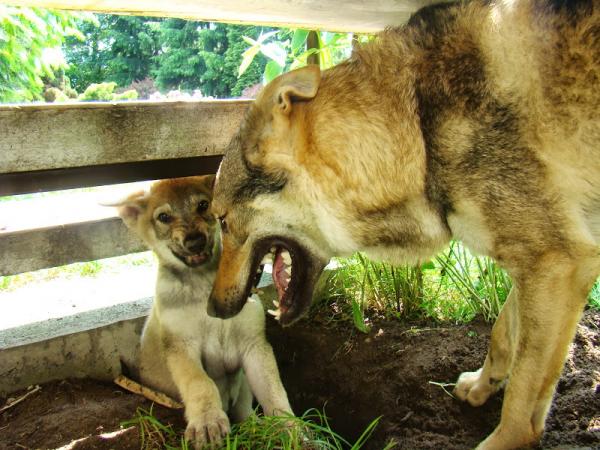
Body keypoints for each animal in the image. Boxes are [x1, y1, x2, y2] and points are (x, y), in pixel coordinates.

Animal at [113, 175, 292, 446]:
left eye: (203, 205)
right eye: (163, 217)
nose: (195, 241)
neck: (204, 284)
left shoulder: (254, 345)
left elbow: (273, 390)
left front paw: (294, 430)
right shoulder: (181, 348)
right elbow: (200, 383)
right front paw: (208, 422)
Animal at [207, 1, 600, 448]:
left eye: (222, 219)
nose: (212, 307)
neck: (418, 128)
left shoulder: (557, 265)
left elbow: (522, 402)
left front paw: (501, 437)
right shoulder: (541, 263)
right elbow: (503, 334)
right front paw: (482, 385)